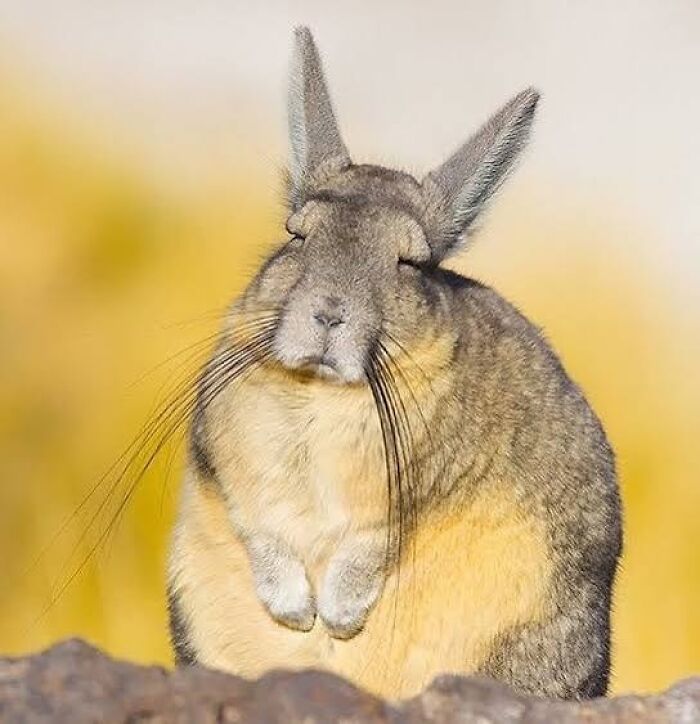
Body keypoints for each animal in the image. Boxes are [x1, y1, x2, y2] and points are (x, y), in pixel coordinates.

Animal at [167, 26, 622, 701]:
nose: (329, 314)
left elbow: (370, 545)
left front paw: (335, 618)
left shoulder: (415, 488)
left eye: (410, 263)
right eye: (296, 235)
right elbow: (260, 526)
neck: (323, 394)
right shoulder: (227, 457)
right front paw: (298, 614)